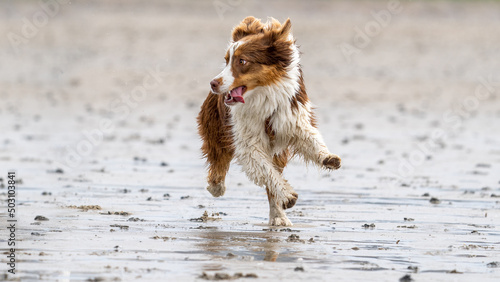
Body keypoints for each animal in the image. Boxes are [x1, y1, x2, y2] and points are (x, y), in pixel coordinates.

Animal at [197, 16, 342, 226]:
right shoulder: (247, 140)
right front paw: (288, 195)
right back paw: (216, 186)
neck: (263, 94)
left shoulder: (290, 118)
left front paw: (327, 157)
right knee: (219, 159)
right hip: (216, 127)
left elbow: (310, 137)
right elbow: (267, 171)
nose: (213, 83)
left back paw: (278, 216)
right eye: (226, 61)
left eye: (242, 61)